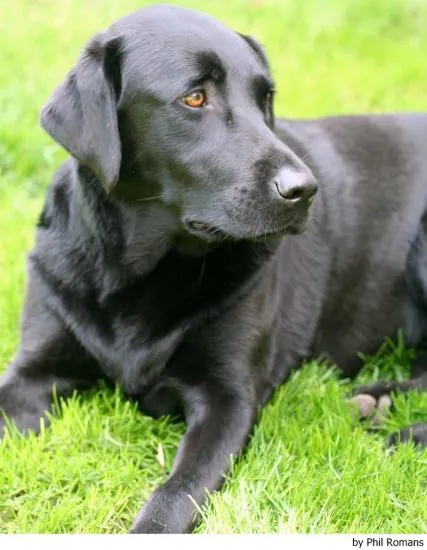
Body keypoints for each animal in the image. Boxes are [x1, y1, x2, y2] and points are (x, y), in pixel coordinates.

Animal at [0, 3, 427, 536]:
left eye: (265, 99)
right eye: (195, 97)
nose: (305, 189)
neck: (136, 269)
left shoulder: (228, 400)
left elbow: (174, 495)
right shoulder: (33, 370)